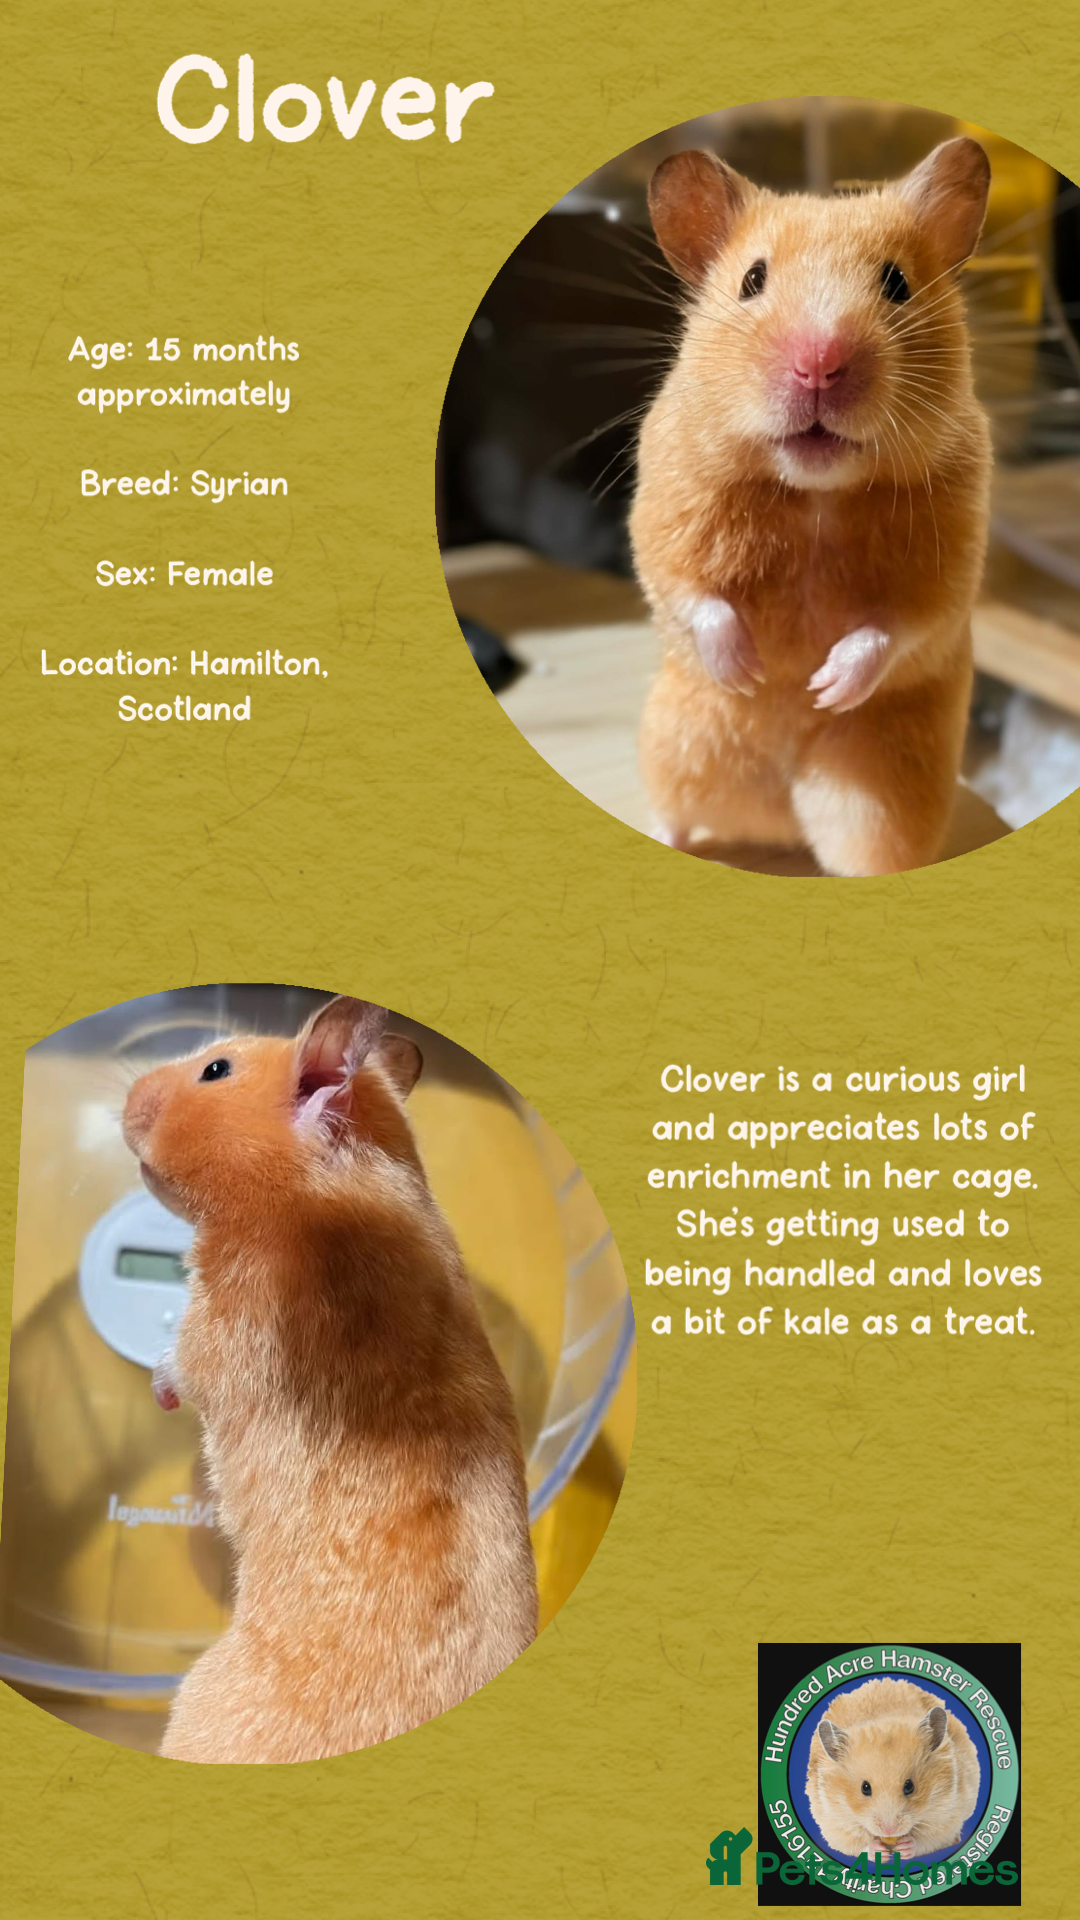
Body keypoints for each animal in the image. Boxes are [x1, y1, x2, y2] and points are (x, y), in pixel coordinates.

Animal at [631, 137, 992, 876]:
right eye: (752, 280)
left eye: (896, 283)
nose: (819, 363)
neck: (814, 493)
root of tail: (775, 825)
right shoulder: (664, 516)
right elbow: (693, 595)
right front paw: (750, 674)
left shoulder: (951, 565)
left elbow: (899, 627)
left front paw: (823, 687)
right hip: (675, 742)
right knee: (676, 811)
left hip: (881, 794)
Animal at [806, 1677, 981, 1859]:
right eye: (865, 1788)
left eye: (910, 1786)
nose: (889, 1831)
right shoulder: (833, 1821)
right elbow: (855, 1843)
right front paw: (880, 1852)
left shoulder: (948, 1813)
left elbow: (928, 1839)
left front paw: (904, 1847)